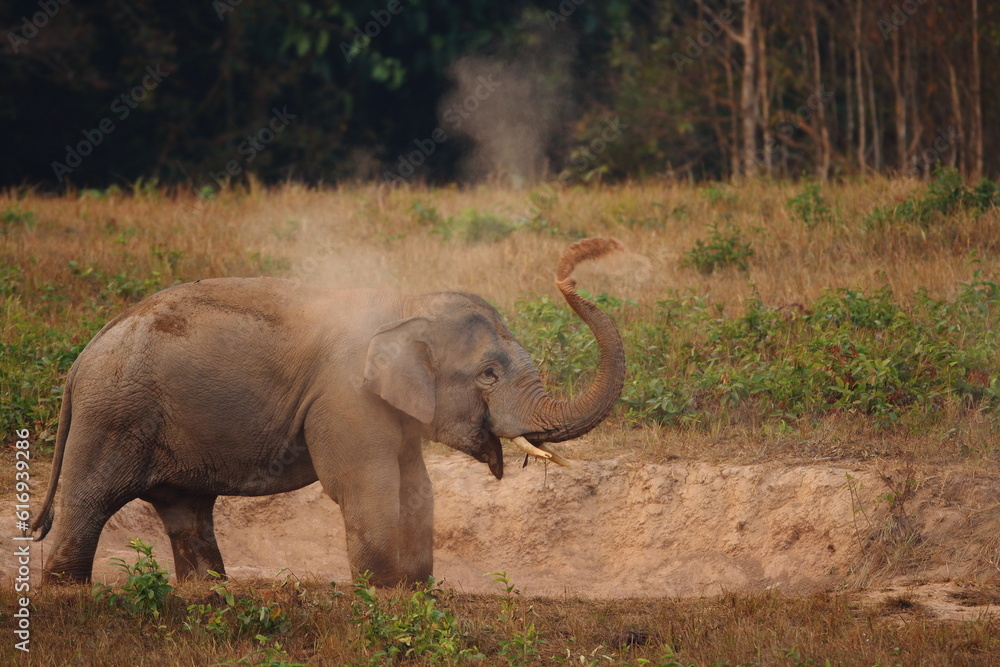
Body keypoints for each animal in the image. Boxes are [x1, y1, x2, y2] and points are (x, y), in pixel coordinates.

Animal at [30, 237, 626, 586]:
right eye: (488, 374)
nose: (575, 268)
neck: (406, 304)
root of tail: (82, 357)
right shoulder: (347, 398)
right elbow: (367, 485)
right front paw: (380, 594)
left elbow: (416, 485)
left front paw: (414, 591)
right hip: (113, 416)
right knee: (92, 500)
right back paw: (70, 597)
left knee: (186, 510)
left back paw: (210, 596)